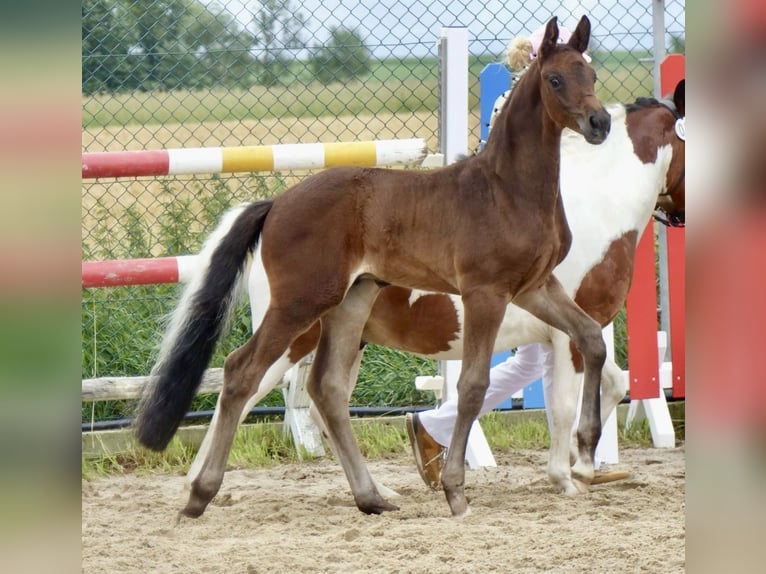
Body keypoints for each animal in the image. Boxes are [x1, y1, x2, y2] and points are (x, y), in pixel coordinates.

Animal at [135, 15, 611, 519]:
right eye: (555, 79)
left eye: (592, 74)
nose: (600, 123)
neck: (508, 189)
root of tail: (277, 203)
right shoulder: (486, 292)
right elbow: (472, 385)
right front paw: (456, 492)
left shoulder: (535, 286)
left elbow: (591, 339)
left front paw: (585, 455)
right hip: (301, 304)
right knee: (242, 372)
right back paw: (200, 495)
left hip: (351, 302)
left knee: (326, 389)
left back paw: (371, 497)